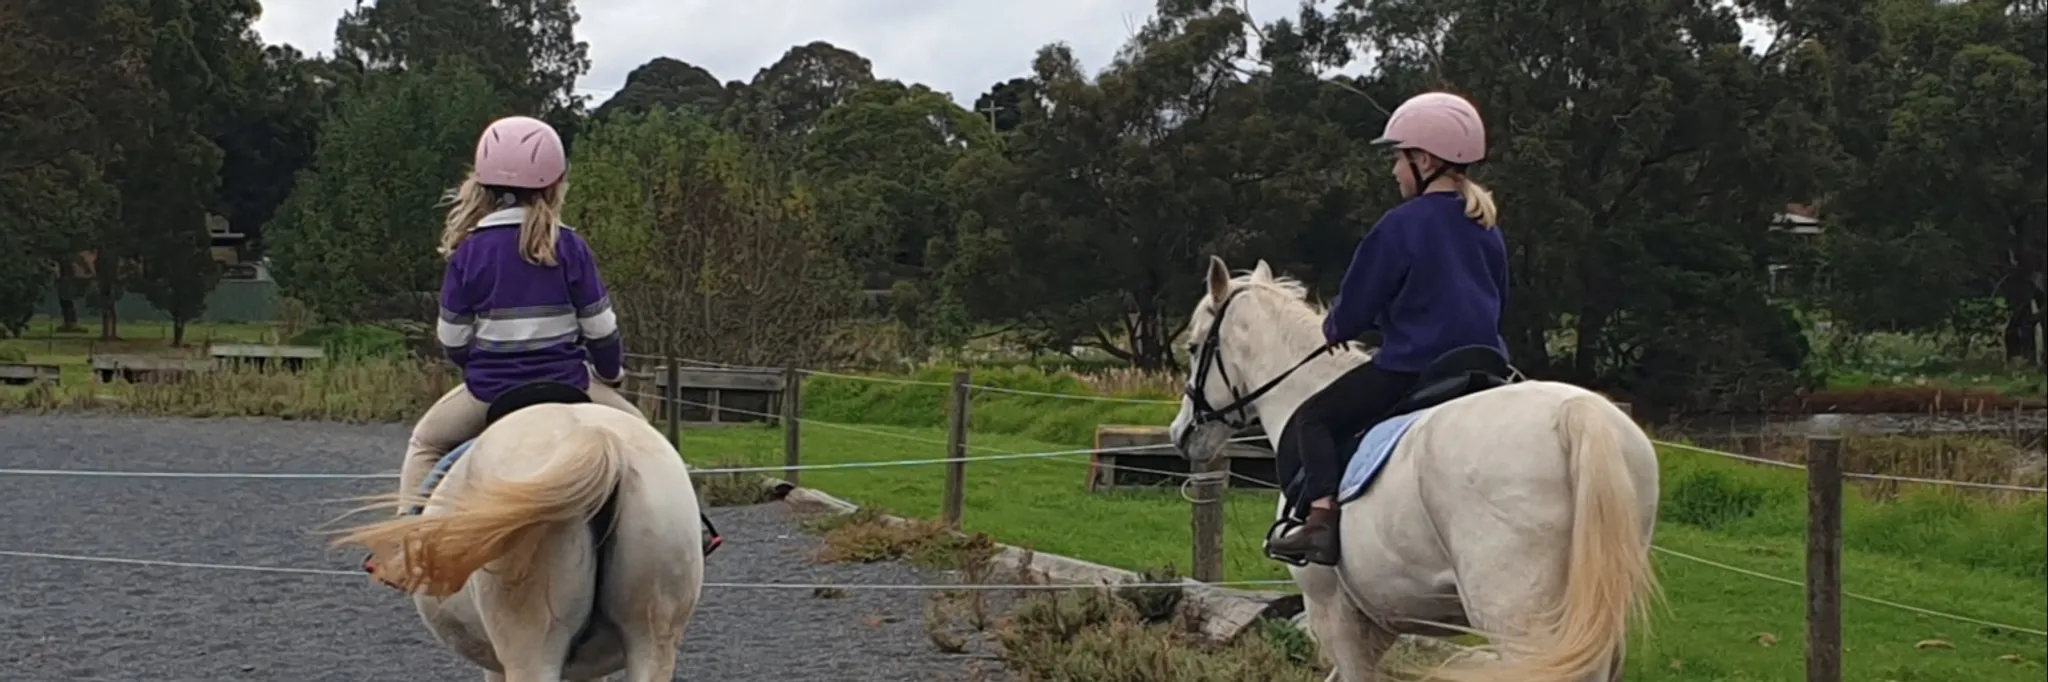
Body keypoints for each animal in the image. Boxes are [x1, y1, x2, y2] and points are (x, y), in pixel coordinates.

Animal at [1167, 256, 1661, 682]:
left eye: (1192, 347)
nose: (1180, 433)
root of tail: (1577, 414)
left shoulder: (1333, 610)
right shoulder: (1382, 618)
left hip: (1520, 621)